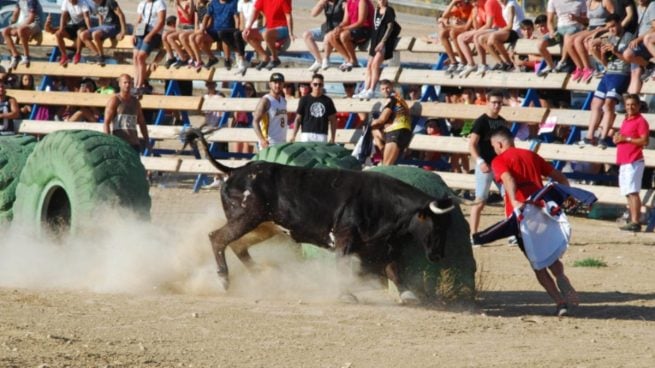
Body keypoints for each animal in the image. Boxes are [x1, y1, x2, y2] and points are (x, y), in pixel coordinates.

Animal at [182, 129, 454, 300]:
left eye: (446, 226)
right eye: (434, 225)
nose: (438, 255)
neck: (381, 202)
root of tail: (234, 171)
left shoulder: (384, 245)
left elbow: (394, 268)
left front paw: (408, 294)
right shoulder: (344, 239)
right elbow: (344, 267)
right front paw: (345, 294)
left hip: (264, 225)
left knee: (237, 245)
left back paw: (261, 275)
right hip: (247, 218)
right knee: (218, 238)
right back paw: (224, 280)